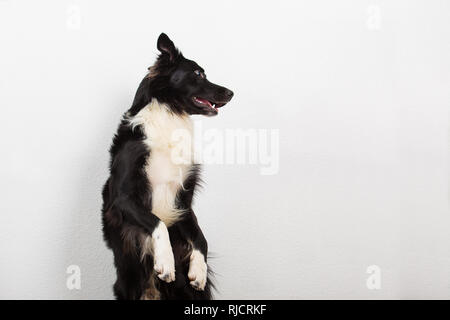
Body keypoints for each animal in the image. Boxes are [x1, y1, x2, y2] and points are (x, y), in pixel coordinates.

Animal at [101, 33, 234, 300]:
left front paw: (199, 270)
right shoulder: (123, 198)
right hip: (129, 279)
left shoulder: (183, 201)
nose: (231, 92)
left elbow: (201, 238)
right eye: (198, 73)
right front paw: (165, 262)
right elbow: (156, 222)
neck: (170, 115)